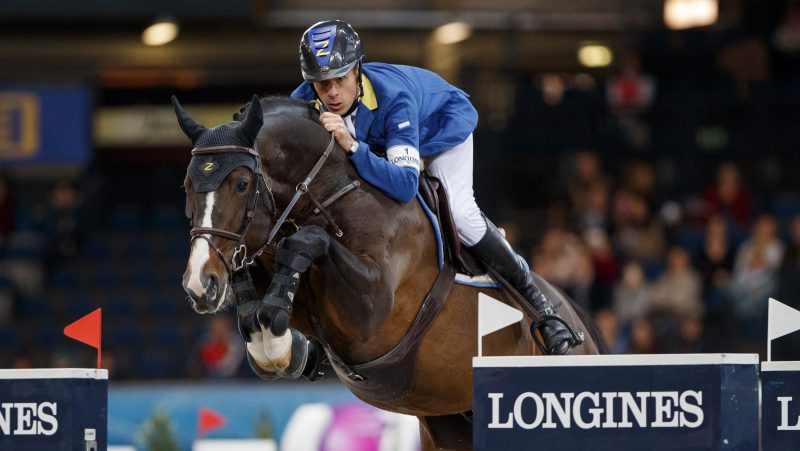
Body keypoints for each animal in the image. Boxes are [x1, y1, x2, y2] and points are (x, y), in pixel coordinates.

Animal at [172, 94, 604, 448]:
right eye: (187, 187)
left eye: (241, 184)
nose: (199, 285)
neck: (331, 192)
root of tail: (574, 315)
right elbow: (262, 275)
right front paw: (271, 338)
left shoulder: (372, 311)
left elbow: (307, 242)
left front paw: (273, 330)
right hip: (451, 422)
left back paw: (553, 330)